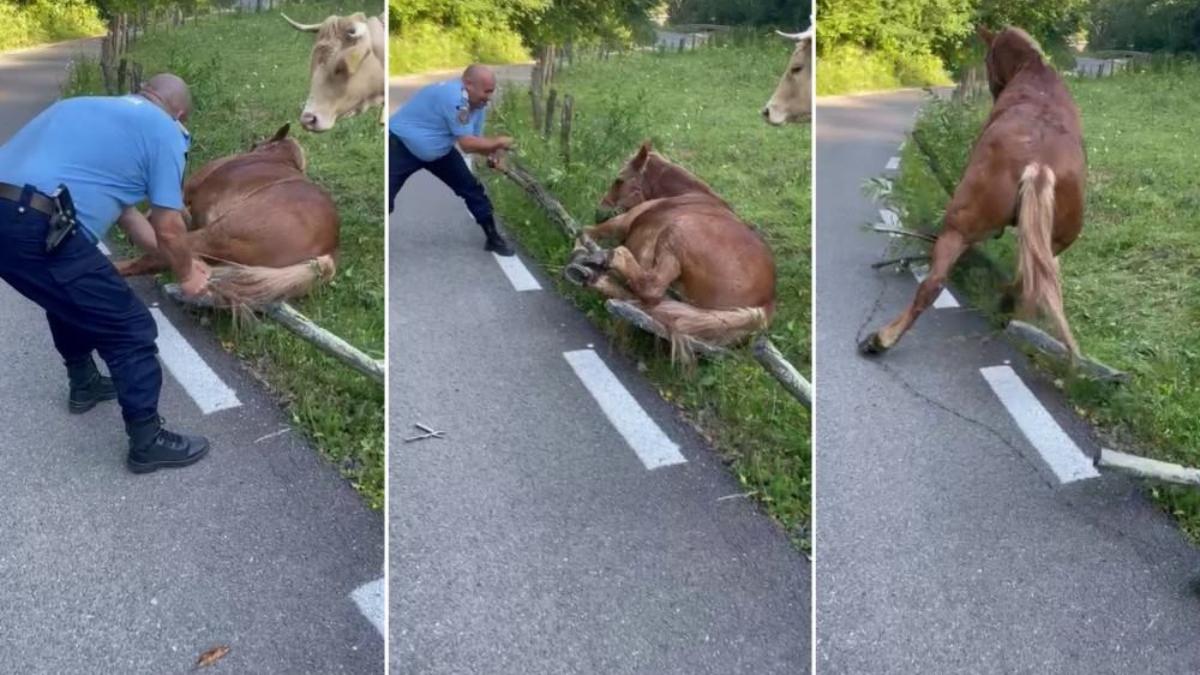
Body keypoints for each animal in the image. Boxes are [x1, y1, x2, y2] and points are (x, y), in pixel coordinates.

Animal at [114, 124, 340, 305]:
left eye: (255, 144)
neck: (277, 158)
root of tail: (328, 252)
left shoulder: (186, 191)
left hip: (216, 235)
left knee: (156, 258)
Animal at [571, 139, 777, 355]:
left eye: (619, 180)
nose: (599, 213)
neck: (686, 195)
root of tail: (766, 303)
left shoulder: (622, 222)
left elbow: (584, 231)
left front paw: (581, 254)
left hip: (675, 233)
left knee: (649, 288)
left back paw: (598, 265)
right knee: (648, 301)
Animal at [859, 27, 1084, 357]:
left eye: (987, 58)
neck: (1035, 73)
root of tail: (1039, 165)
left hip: (958, 228)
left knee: (932, 285)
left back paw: (881, 339)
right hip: (1053, 242)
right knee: (1022, 284)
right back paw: (1002, 309)